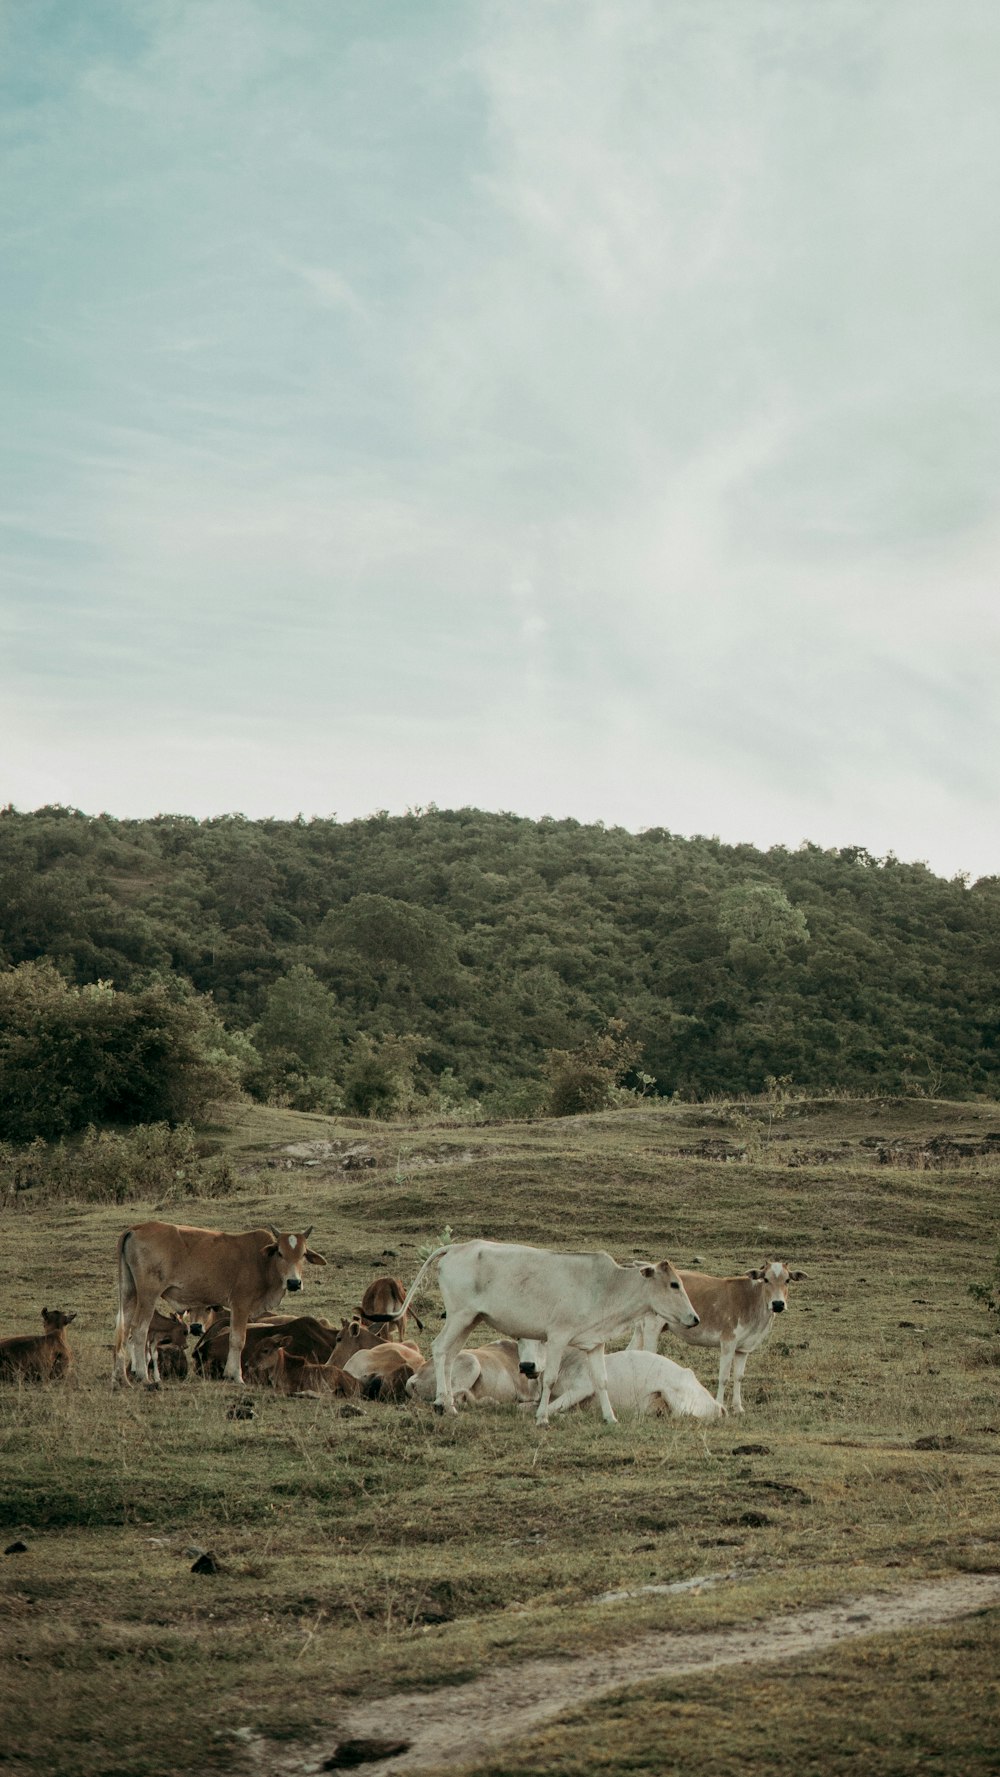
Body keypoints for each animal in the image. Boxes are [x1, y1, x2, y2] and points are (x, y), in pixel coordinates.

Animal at [113, 1222, 326, 1386]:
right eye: (280, 1253)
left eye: (303, 1254)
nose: (294, 1282)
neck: (262, 1261)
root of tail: (136, 1228)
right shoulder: (241, 1304)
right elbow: (238, 1340)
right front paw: (237, 1376)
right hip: (148, 1295)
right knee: (139, 1330)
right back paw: (143, 1375)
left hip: (129, 1292)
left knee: (123, 1330)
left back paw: (120, 1376)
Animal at [387, 1243, 699, 1435]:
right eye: (674, 1284)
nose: (694, 1318)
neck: (606, 1286)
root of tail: (456, 1247)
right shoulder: (558, 1336)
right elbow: (548, 1379)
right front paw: (542, 1418)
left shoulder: (595, 1343)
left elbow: (602, 1381)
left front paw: (611, 1418)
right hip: (459, 1315)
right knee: (440, 1349)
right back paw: (444, 1404)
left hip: (469, 1320)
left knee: (451, 1355)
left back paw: (447, 1403)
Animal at [639, 1265, 809, 1414]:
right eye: (766, 1279)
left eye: (788, 1280)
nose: (778, 1304)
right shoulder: (728, 1342)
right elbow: (724, 1377)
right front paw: (720, 1404)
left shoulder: (743, 1349)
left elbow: (739, 1377)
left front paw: (738, 1408)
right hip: (653, 1327)